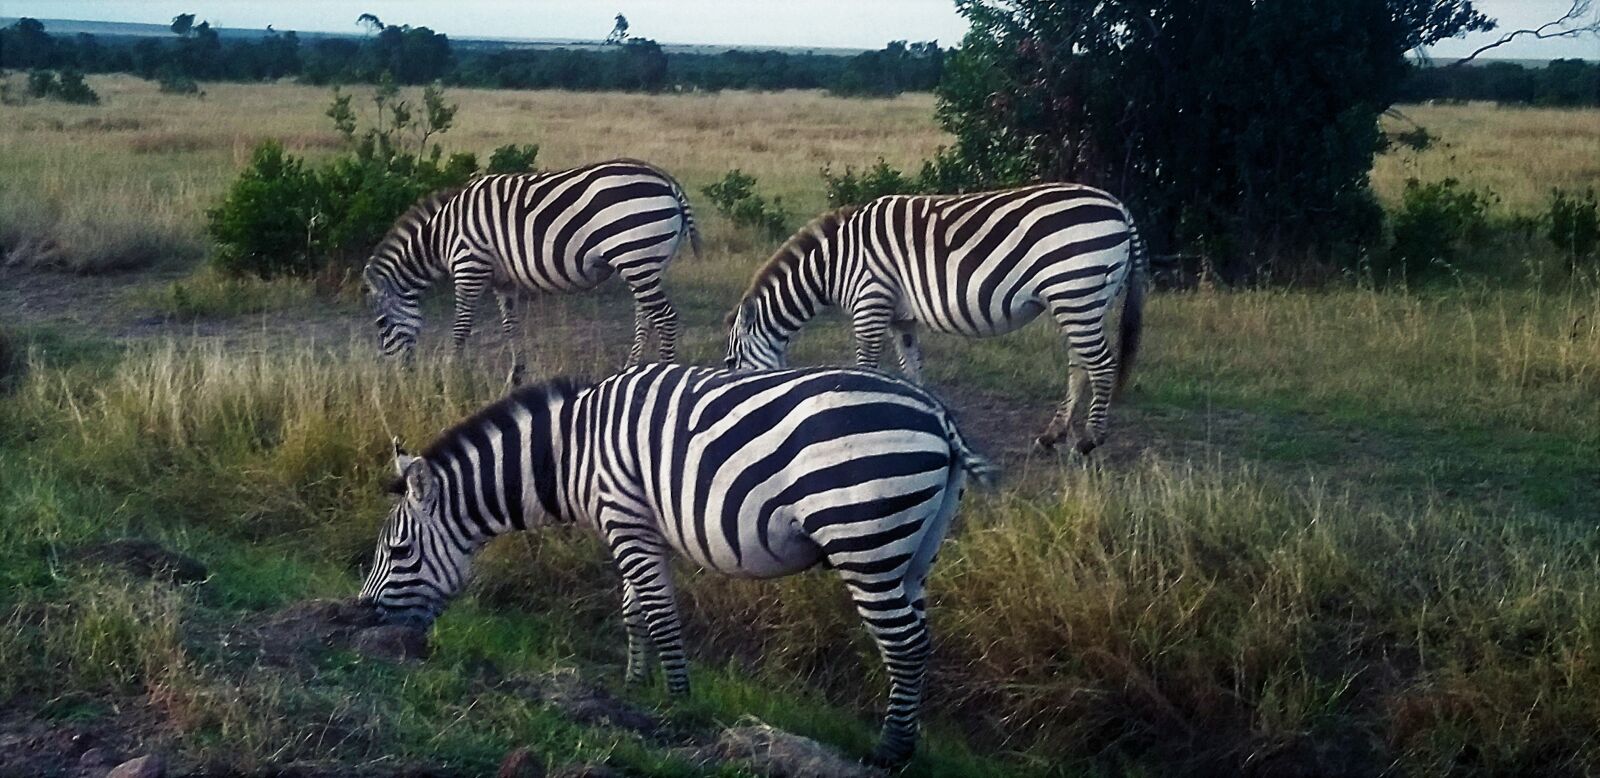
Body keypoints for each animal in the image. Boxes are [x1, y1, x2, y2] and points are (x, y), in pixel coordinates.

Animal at [357, 362, 995, 766]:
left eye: (398, 552)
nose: (363, 618)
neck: (570, 454)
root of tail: (936, 414)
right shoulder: (637, 525)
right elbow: (634, 609)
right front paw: (633, 686)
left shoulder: (625, 517)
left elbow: (660, 614)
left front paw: (677, 701)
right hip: (913, 550)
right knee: (919, 640)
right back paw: (904, 740)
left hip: (865, 539)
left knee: (903, 645)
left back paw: (891, 751)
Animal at [363, 159, 702, 384]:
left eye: (381, 324)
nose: (396, 379)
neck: (441, 235)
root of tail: (667, 181)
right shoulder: (502, 280)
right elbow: (510, 326)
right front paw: (516, 375)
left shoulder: (469, 265)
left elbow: (461, 326)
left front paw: (450, 374)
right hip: (643, 263)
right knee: (646, 317)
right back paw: (630, 370)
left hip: (636, 257)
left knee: (665, 318)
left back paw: (664, 375)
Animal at [723, 184, 1147, 453]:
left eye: (730, 362)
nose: (743, 418)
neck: (834, 264)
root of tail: (1120, 206)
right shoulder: (900, 317)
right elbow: (912, 369)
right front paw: (923, 416)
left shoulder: (871, 301)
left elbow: (866, 366)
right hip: (1080, 300)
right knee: (1080, 365)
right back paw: (1053, 435)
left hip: (1076, 290)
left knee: (1101, 365)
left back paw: (1090, 440)